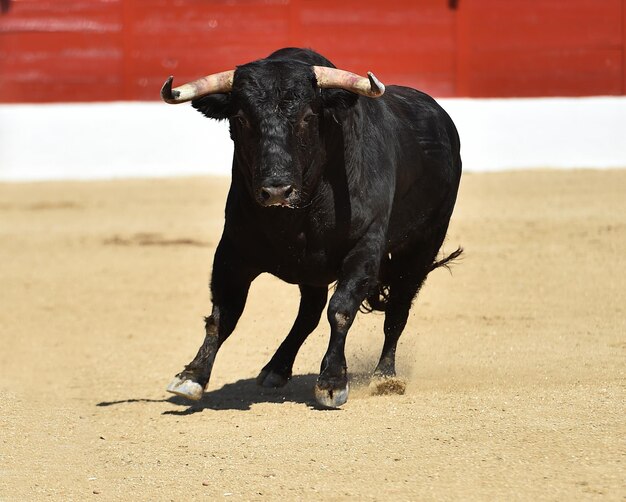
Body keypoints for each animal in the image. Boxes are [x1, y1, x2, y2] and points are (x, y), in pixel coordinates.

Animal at [163, 47, 460, 408]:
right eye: (242, 119)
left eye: (307, 117)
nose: (277, 190)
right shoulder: (233, 251)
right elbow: (224, 313)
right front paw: (192, 376)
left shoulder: (365, 247)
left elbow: (341, 310)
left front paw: (332, 382)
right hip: (313, 269)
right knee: (310, 311)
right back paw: (276, 369)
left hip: (422, 247)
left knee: (397, 309)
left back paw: (384, 377)